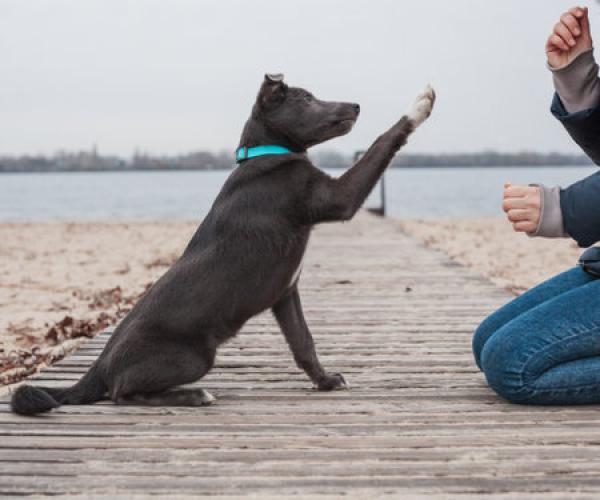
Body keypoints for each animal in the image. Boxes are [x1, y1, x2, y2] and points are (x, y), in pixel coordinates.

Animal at [11, 73, 434, 414]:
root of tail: (98, 367)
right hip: (194, 356)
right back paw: (192, 395)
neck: (267, 154)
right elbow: (384, 141)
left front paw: (326, 381)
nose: (356, 105)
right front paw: (420, 104)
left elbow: (304, 343)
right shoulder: (337, 198)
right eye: (307, 99)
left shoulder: (286, 293)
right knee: (120, 392)